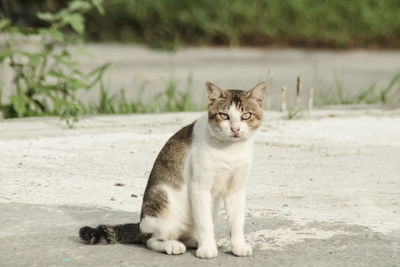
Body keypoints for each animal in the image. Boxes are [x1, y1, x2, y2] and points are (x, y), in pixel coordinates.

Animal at [78, 81, 268, 260]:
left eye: (246, 116)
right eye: (224, 115)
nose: (235, 129)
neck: (230, 150)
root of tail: (141, 225)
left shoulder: (236, 189)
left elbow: (236, 221)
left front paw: (238, 246)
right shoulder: (199, 187)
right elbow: (204, 223)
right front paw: (207, 249)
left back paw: (194, 240)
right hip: (162, 204)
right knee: (151, 240)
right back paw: (173, 245)